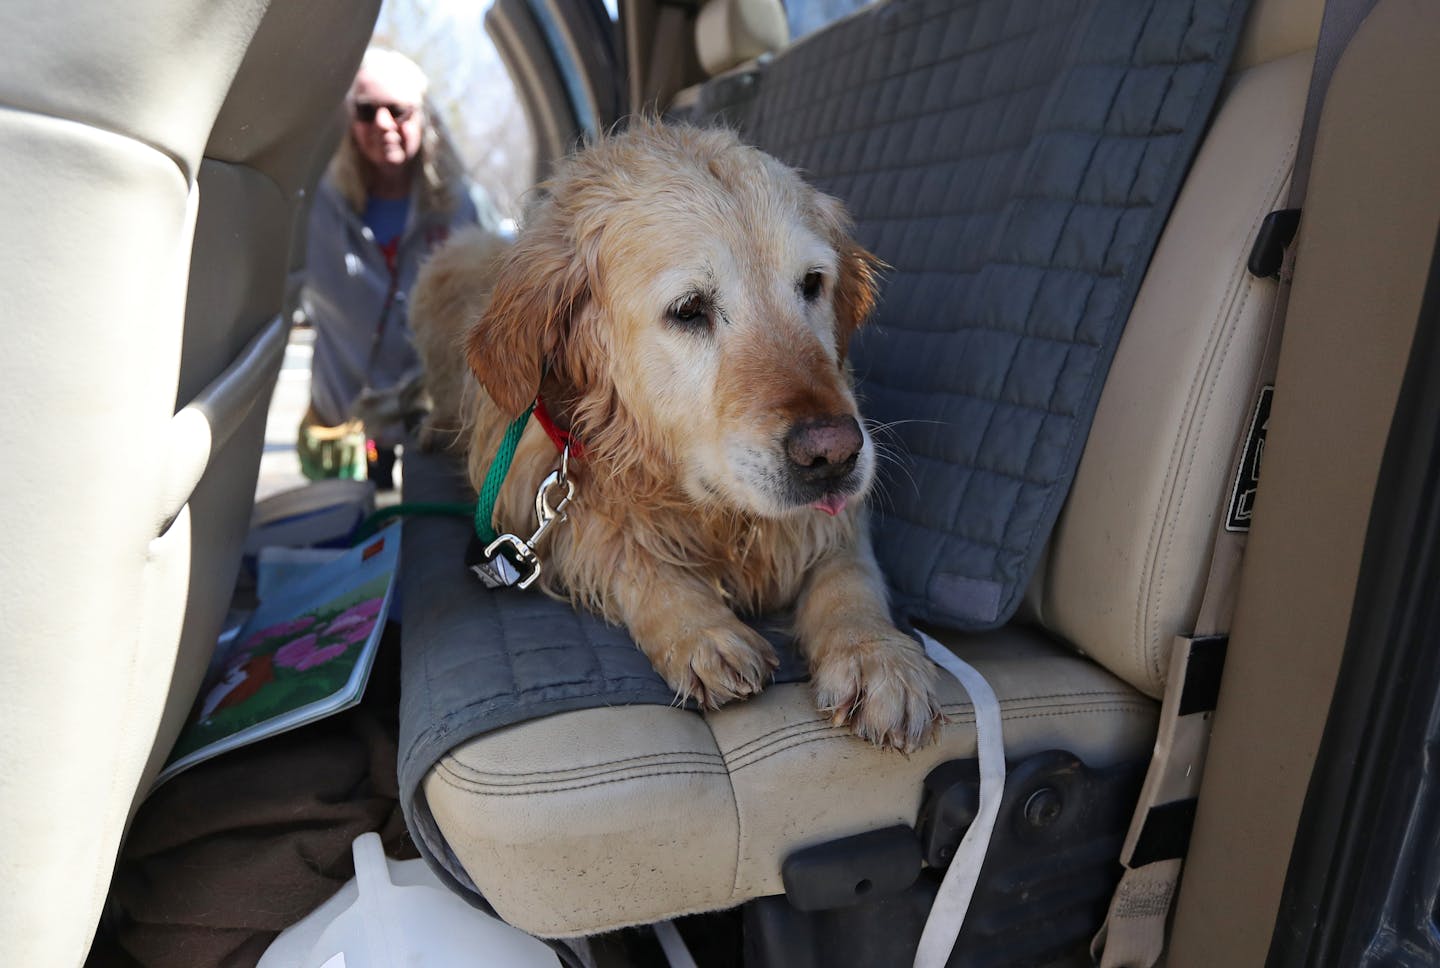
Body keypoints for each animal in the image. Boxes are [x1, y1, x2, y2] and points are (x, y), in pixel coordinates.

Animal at [414, 121, 944, 754]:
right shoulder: (542, 502)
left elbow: (849, 572)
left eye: (812, 283)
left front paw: (874, 654)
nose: (834, 454)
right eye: (689, 309)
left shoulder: (838, 516)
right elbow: (625, 555)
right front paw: (700, 629)